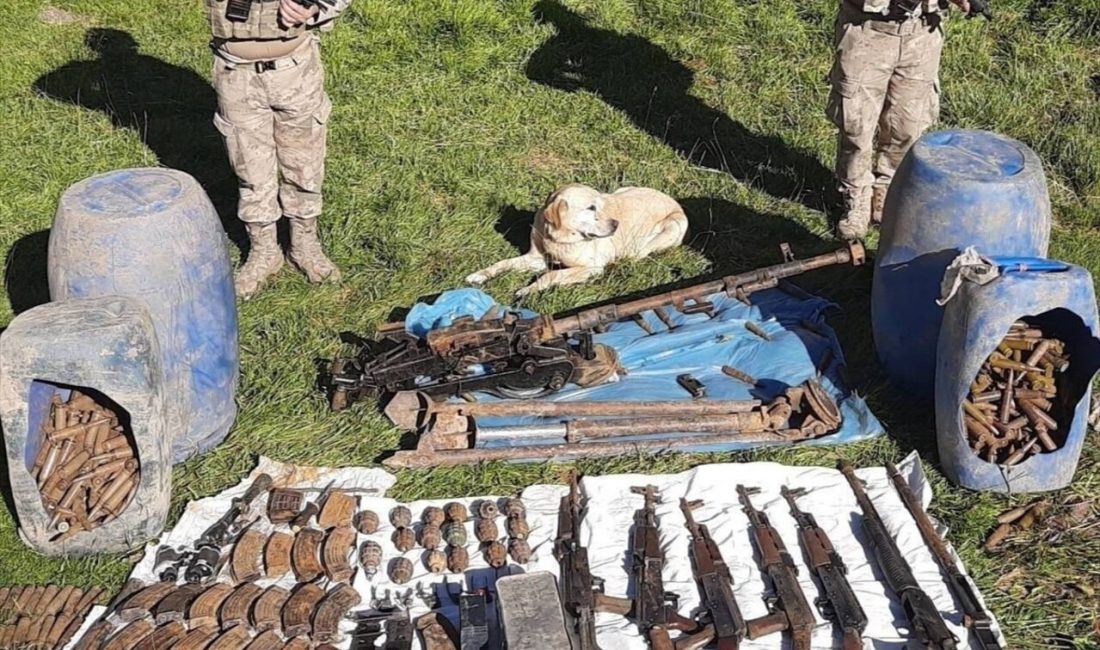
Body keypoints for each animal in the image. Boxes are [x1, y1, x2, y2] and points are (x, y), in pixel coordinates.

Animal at [464, 181, 686, 296]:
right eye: (591, 208)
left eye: (600, 206)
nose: (616, 224)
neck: (558, 238)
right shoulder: (535, 259)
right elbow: (502, 264)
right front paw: (479, 275)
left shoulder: (592, 268)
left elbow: (551, 275)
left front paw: (528, 289)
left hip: (673, 225)